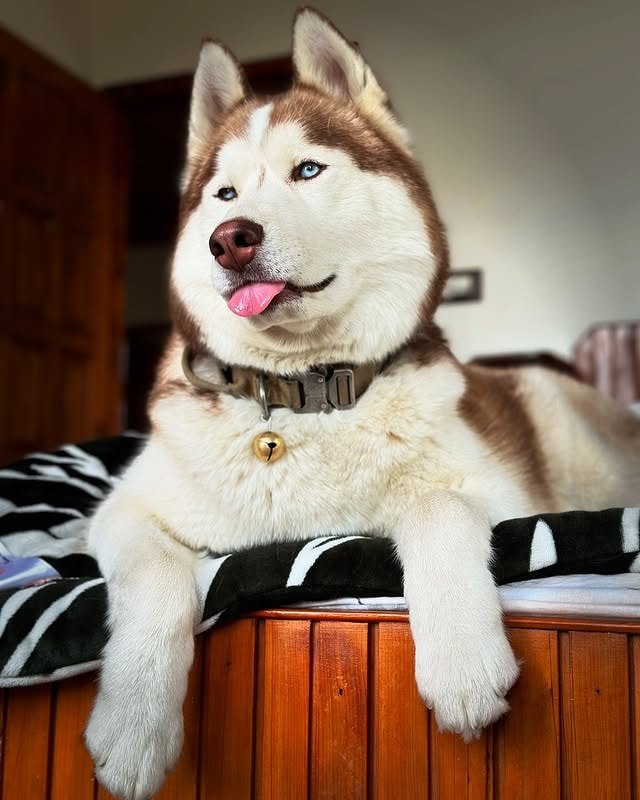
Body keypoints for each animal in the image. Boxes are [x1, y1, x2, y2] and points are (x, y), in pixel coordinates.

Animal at [84, 7, 640, 800]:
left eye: (308, 171)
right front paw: (132, 727)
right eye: (223, 196)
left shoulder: (509, 498)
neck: (299, 394)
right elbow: (156, 576)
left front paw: (463, 661)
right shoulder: (119, 512)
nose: (230, 240)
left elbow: (434, 503)